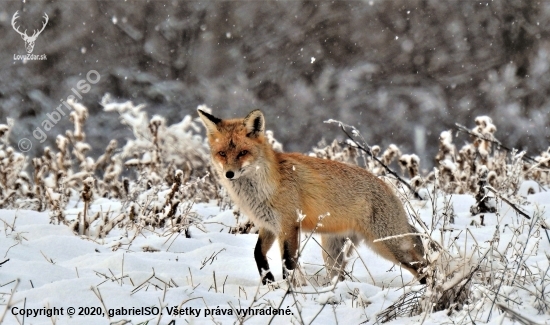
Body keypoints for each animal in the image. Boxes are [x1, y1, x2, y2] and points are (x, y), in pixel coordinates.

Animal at [198, 108, 426, 284]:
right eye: (222, 154)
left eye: (243, 153)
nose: (229, 174)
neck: (263, 188)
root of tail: (391, 189)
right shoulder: (268, 225)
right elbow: (258, 255)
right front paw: (268, 282)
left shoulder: (289, 225)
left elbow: (288, 263)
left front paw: (291, 292)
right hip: (332, 252)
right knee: (338, 277)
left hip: (388, 245)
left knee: (422, 266)